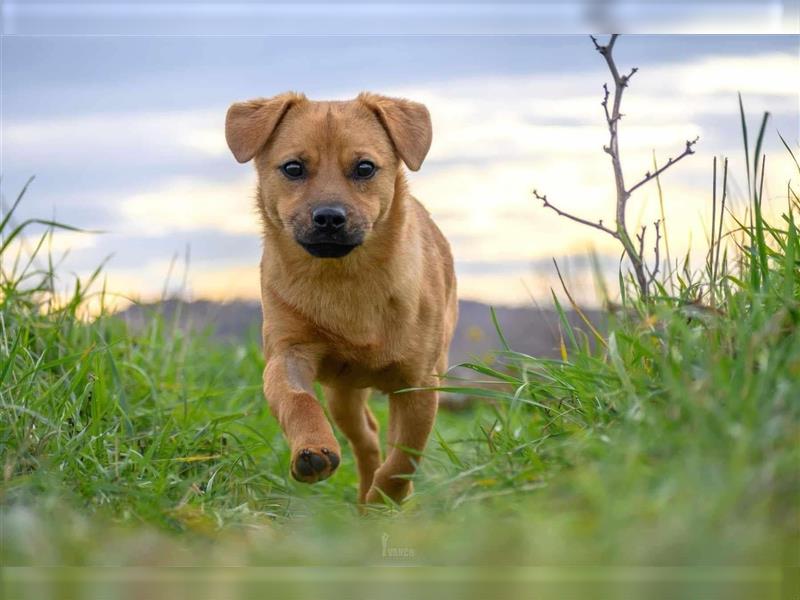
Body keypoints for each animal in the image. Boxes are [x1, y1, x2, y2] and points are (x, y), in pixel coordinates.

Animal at [225, 91, 456, 504]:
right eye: (293, 168)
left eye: (364, 168)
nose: (329, 217)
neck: (345, 278)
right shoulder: (287, 355)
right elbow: (298, 400)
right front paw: (312, 449)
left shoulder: (418, 385)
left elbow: (403, 460)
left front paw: (385, 501)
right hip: (342, 395)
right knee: (367, 439)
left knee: (386, 445)